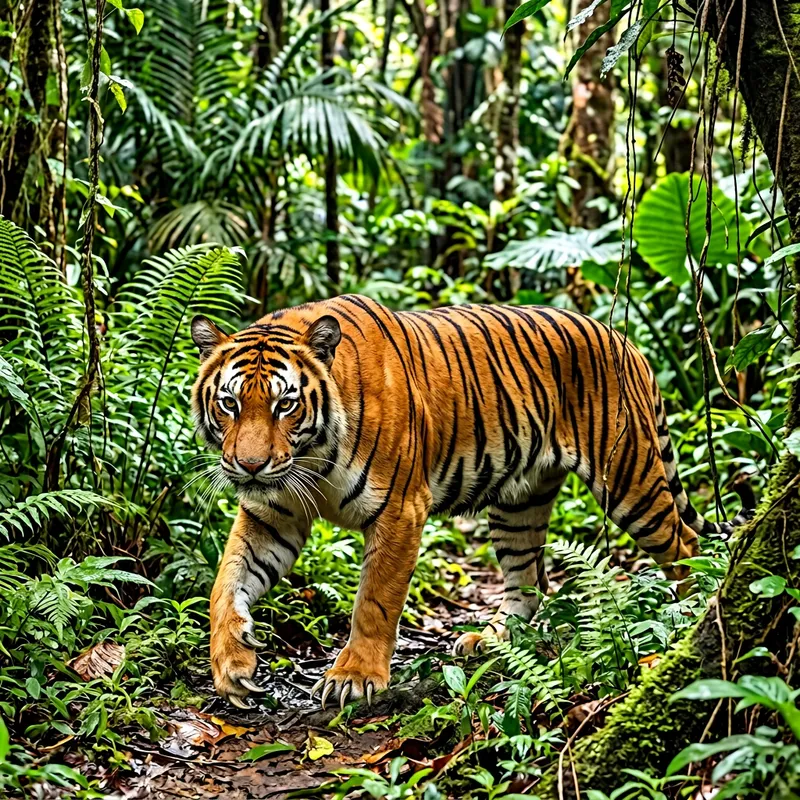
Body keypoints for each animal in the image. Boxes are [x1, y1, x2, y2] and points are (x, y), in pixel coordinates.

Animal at [191, 294, 750, 710]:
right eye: (230, 403)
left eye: (285, 404)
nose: (250, 466)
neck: (311, 457)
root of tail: (626, 341)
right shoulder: (272, 516)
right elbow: (226, 582)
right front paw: (232, 664)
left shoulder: (400, 509)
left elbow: (374, 600)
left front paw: (355, 676)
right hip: (519, 503)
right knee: (529, 581)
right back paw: (494, 640)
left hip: (630, 479)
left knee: (685, 545)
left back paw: (687, 620)